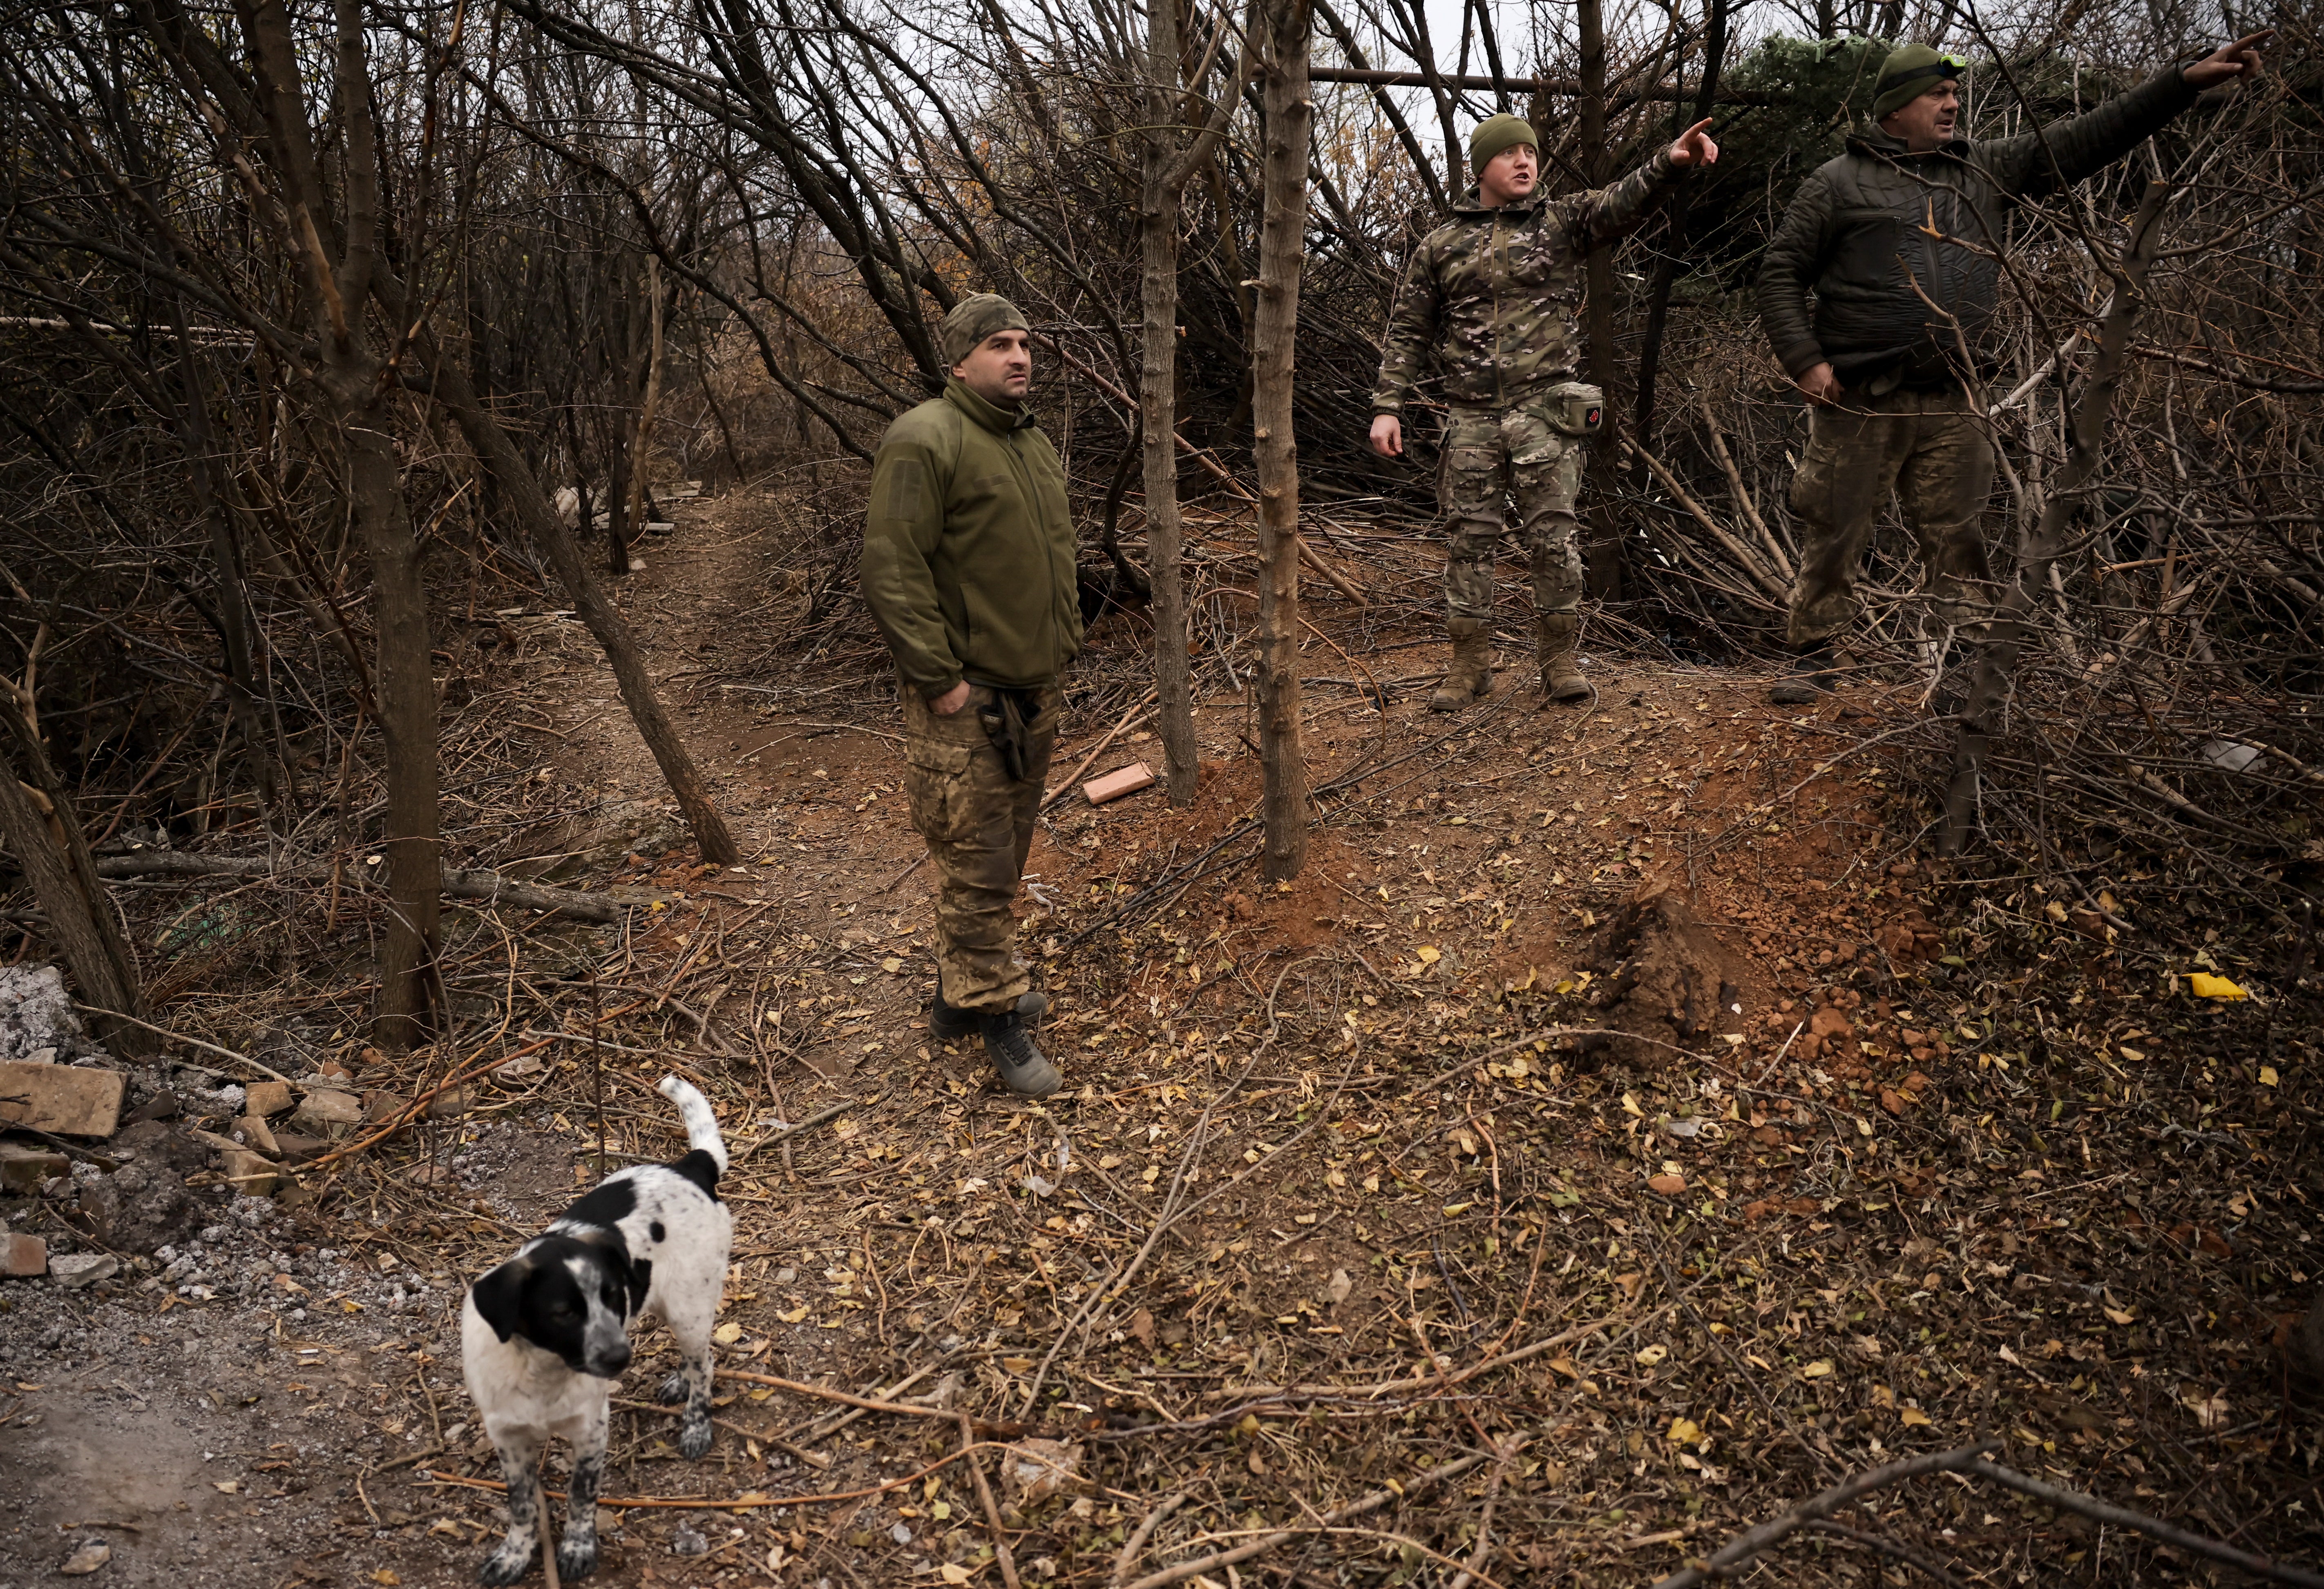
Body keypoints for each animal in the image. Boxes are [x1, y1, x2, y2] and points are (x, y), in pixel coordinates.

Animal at [460, 1073, 730, 1580]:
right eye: (563, 1312)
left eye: (611, 1295)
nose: (619, 1357)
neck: (544, 1372)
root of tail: (690, 1166)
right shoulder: (508, 1437)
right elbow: (522, 1504)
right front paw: (515, 1553)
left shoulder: (590, 1428)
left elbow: (580, 1494)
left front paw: (578, 1547)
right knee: (694, 1359)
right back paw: (678, 1383)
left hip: (688, 1306)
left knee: (705, 1361)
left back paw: (695, 1423)